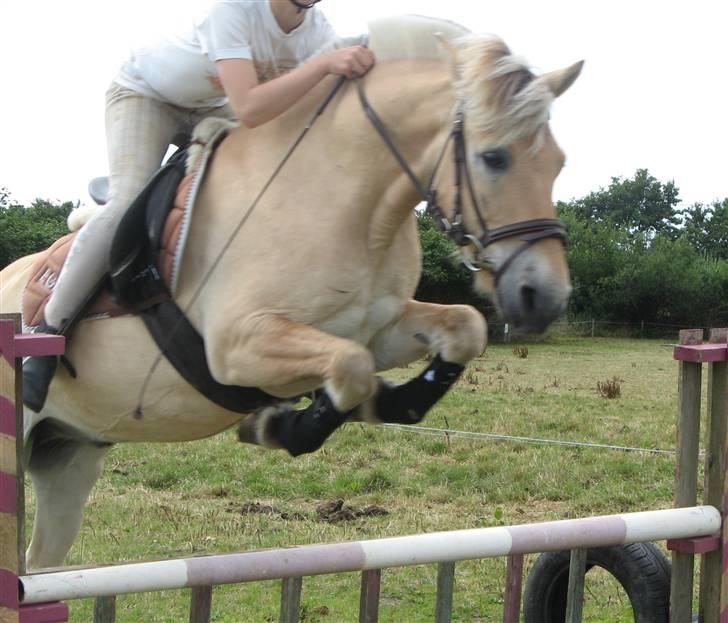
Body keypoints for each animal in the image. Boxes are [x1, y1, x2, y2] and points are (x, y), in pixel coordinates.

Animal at [0, 15, 580, 572]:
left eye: (559, 162)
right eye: (494, 158)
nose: (543, 296)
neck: (349, 198)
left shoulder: (378, 326)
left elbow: (463, 329)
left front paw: (389, 402)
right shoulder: (236, 346)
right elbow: (349, 366)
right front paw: (280, 426)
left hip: (69, 455)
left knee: (43, 563)